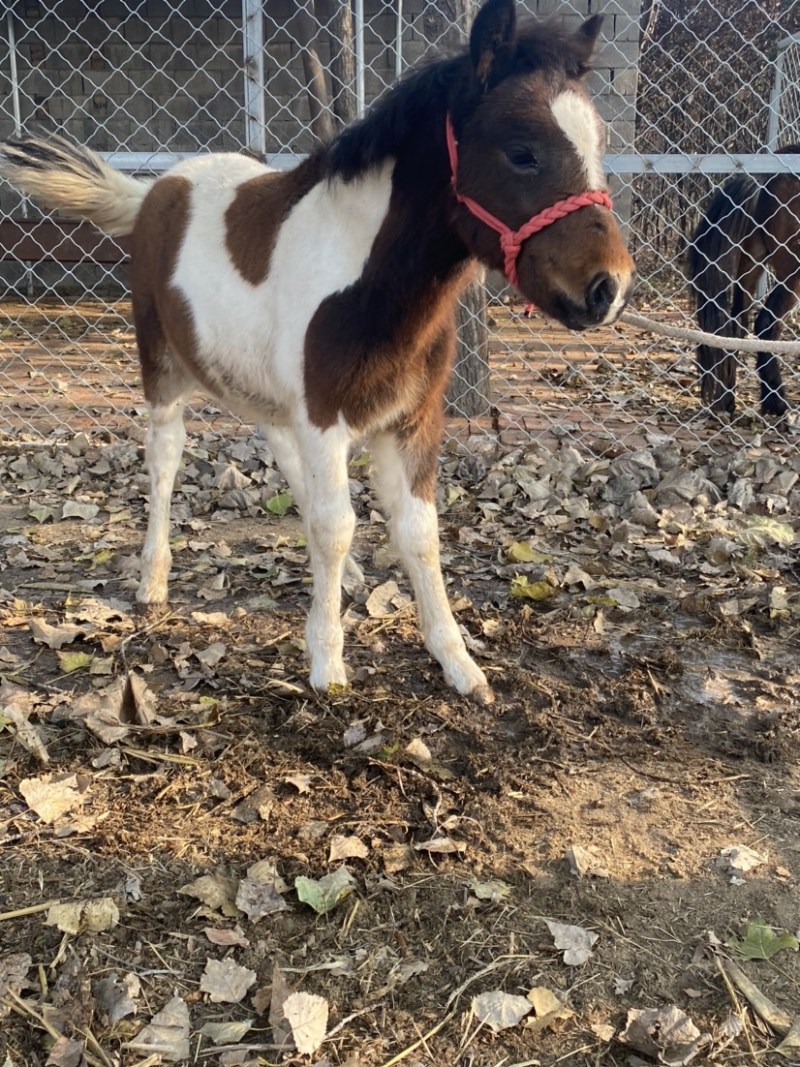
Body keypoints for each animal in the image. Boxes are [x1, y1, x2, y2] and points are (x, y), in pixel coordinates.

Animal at [0, 0, 634, 704]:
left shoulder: (411, 419)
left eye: (600, 145)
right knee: (165, 458)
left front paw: (458, 663)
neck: (368, 281)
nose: (607, 288)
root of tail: (157, 191)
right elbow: (337, 526)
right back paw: (152, 581)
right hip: (165, 370)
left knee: (279, 450)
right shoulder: (327, 414)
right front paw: (327, 663)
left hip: (269, 390)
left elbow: (418, 532)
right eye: (521, 153)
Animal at [688, 148, 800, 418]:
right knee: (767, 324)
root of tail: (764, 176)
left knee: (734, 325)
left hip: (752, 261)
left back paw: (727, 400)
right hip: (792, 270)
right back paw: (777, 403)